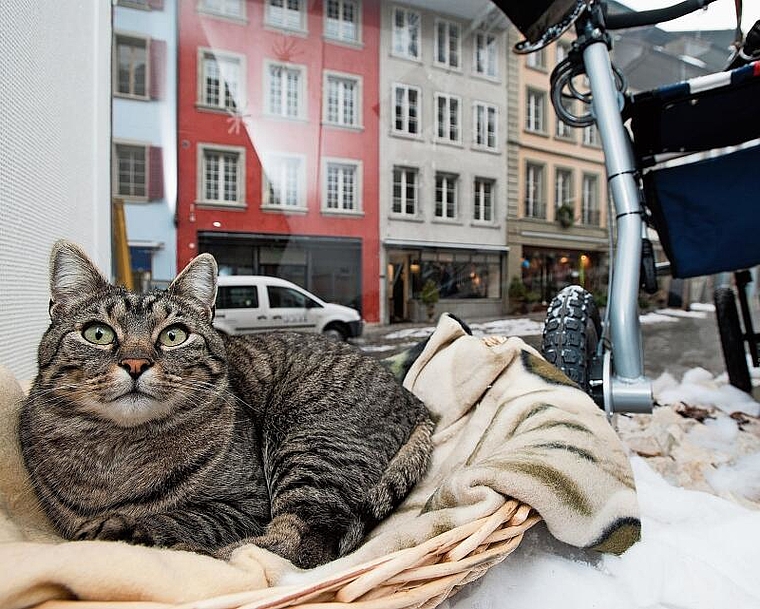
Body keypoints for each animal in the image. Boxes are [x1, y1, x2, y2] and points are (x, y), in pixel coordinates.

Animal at [19, 240, 434, 568]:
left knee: (297, 546)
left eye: (173, 335)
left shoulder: (247, 505)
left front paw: (123, 527)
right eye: (98, 333)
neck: (118, 450)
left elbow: (181, 518)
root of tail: (416, 402)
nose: (135, 363)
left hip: (308, 440)